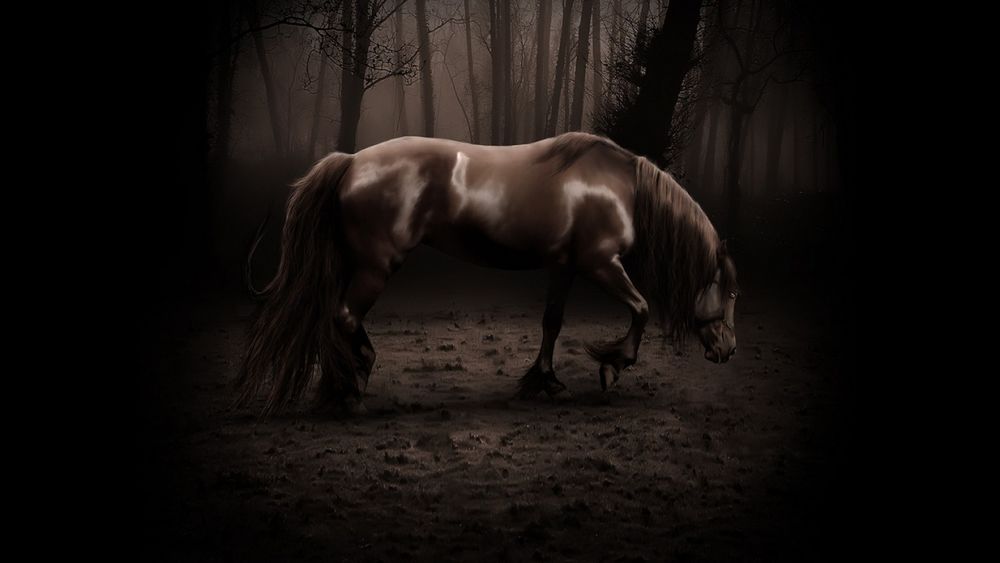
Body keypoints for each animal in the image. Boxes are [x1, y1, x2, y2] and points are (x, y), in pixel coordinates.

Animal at [238, 132, 739, 415]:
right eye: (731, 293)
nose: (728, 350)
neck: (619, 186)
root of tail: (352, 161)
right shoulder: (599, 263)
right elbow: (640, 308)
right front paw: (612, 367)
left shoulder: (565, 266)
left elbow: (552, 323)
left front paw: (546, 382)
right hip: (376, 266)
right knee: (343, 316)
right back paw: (352, 389)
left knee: (335, 316)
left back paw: (345, 383)